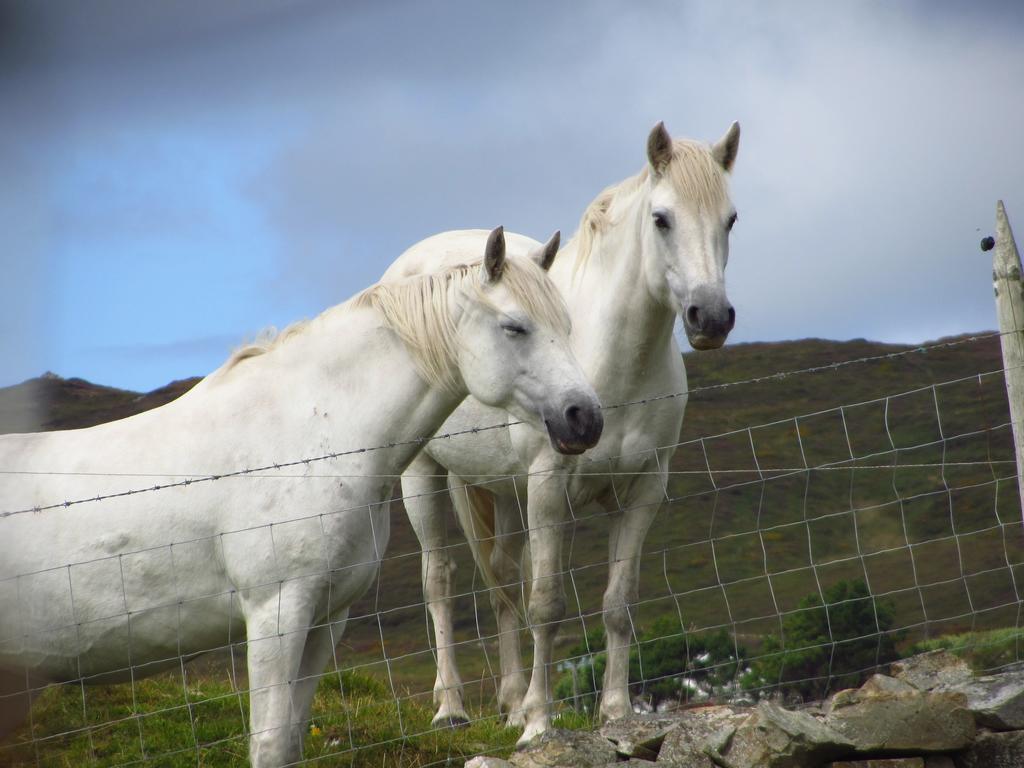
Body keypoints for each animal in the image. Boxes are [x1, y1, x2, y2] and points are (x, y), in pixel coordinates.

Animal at [0, 230, 602, 768]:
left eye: (568, 326)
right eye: (514, 327)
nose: (585, 418)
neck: (307, 432)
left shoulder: (324, 619)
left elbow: (288, 742)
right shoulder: (276, 612)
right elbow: (267, 745)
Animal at [380, 121, 741, 745]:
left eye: (731, 219)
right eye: (662, 218)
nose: (711, 318)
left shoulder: (644, 491)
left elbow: (618, 603)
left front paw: (614, 713)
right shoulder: (550, 486)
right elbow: (545, 605)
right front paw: (539, 725)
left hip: (502, 491)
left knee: (501, 580)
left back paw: (508, 701)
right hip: (424, 477)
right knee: (441, 582)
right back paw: (452, 708)